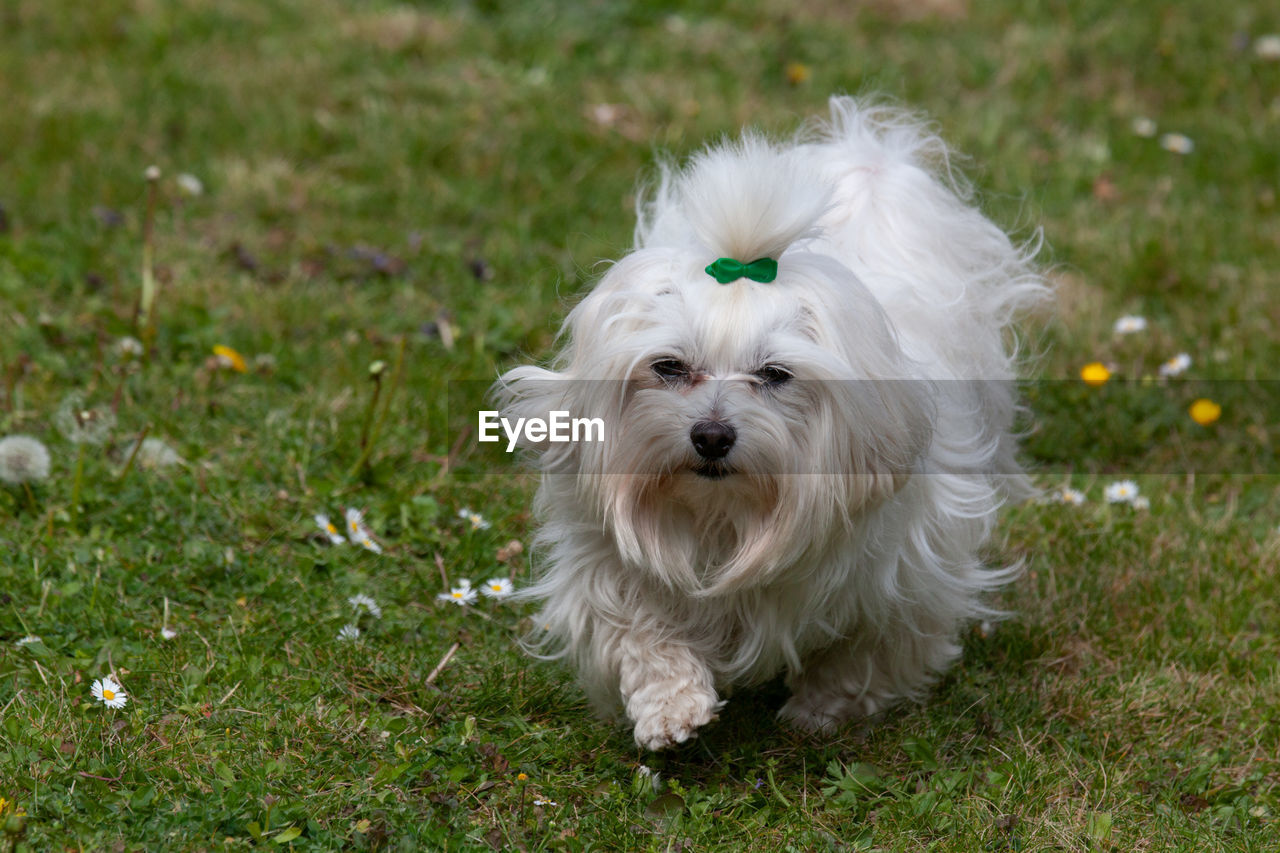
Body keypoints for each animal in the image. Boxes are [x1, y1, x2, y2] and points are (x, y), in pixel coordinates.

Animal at [494, 96, 1044, 747]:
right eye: (669, 367)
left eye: (775, 374)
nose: (711, 436)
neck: (729, 518)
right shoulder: (604, 559)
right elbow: (638, 629)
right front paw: (670, 707)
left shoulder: (904, 575)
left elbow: (865, 653)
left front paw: (823, 709)